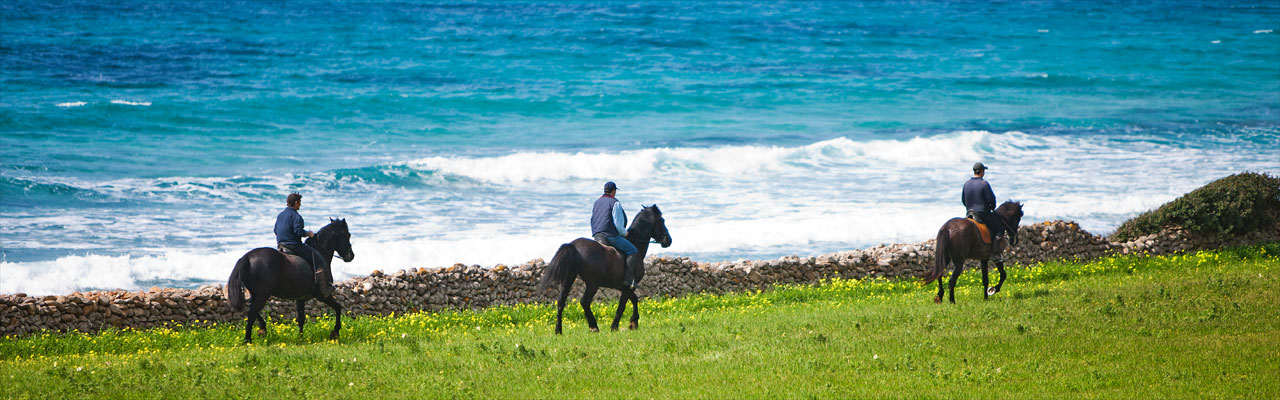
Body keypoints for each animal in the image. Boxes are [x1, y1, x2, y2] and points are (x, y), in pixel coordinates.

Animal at [225, 219, 355, 343]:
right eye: (348, 234)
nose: (351, 256)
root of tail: (247, 257)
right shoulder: (323, 295)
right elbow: (338, 308)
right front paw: (335, 332)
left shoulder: (301, 298)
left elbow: (301, 318)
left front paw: (301, 337)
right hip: (262, 295)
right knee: (251, 313)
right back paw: (248, 339)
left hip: (255, 294)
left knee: (251, 310)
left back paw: (262, 329)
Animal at [535, 206, 670, 333]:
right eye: (661, 220)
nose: (668, 240)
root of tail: (573, 246)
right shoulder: (628, 287)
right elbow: (622, 305)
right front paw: (615, 326)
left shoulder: (622, 286)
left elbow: (634, 299)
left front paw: (633, 323)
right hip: (592, 284)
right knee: (584, 301)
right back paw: (593, 326)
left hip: (569, 278)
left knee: (560, 301)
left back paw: (558, 330)